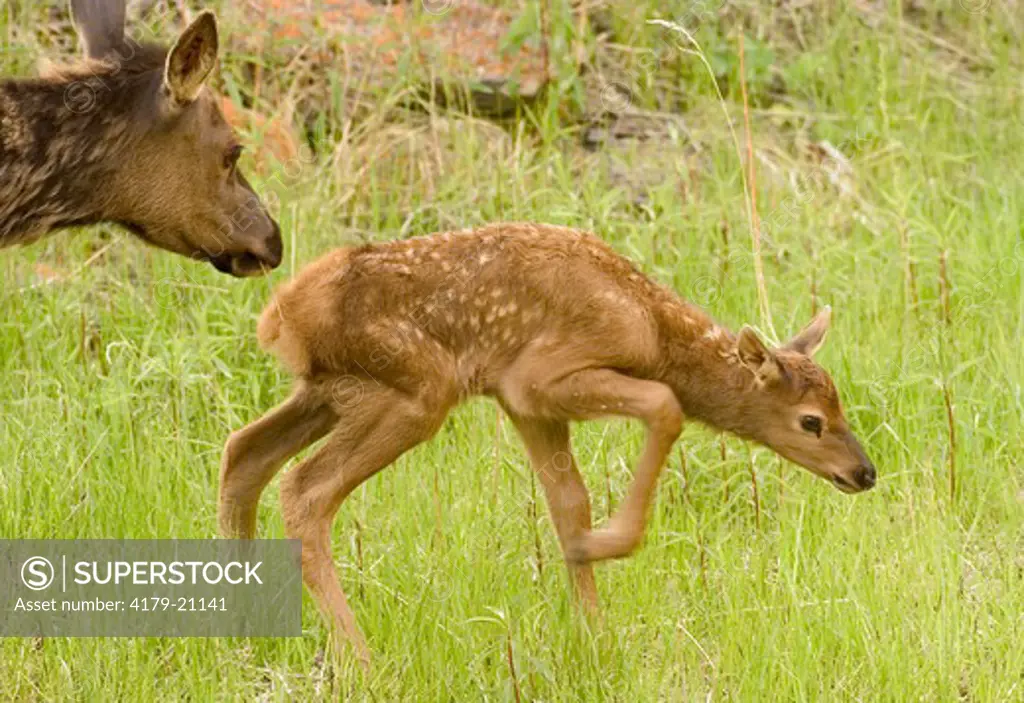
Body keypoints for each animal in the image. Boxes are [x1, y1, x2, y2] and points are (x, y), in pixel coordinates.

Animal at [220, 224, 876, 667]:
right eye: (811, 421)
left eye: (839, 405)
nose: (864, 472)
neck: (653, 331)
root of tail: (278, 319)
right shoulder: (538, 377)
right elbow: (665, 407)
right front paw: (606, 545)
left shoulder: (525, 406)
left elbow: (568, 501)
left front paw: (595, 636)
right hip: (414, 393)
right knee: (304, 489)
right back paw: (361, 659)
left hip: (330, 392)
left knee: (243, 454)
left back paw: (242, 639)